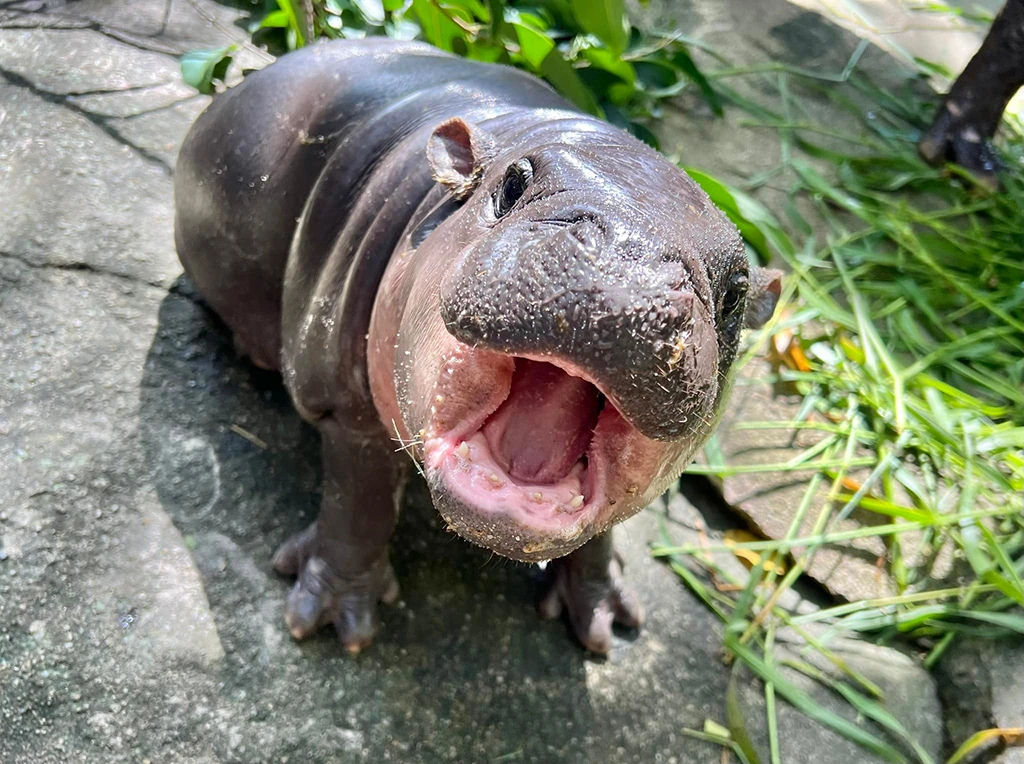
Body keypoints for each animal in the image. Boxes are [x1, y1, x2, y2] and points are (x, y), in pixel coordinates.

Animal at [174, 38, 782, 654]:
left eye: (736, 294)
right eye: (513, 184)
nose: (625, 267)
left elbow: (601, 535)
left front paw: (607, 619)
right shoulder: (346, 403)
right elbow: (358, 498)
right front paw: (333, 622)